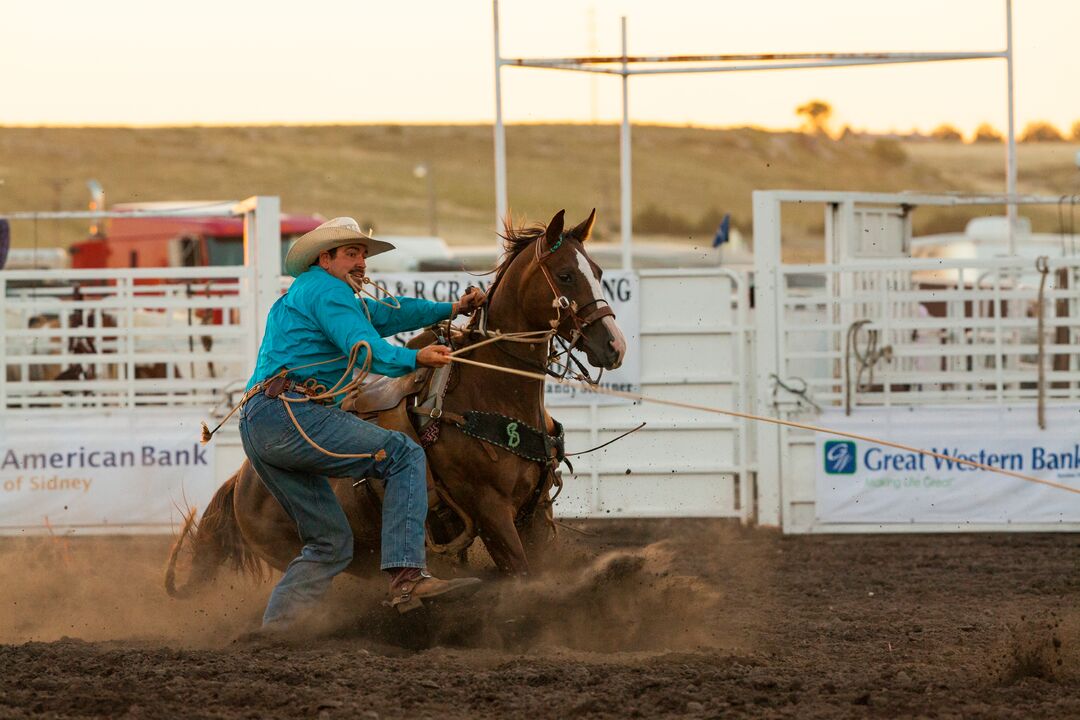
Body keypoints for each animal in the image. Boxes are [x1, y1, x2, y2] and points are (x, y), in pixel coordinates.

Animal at [164, 207, 630, 595]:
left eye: (598, 270)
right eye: (566, 275)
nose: (614, 346)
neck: (490, 393)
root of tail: (238, 482)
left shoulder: (535, 511)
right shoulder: (490, 510)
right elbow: (521, 571)